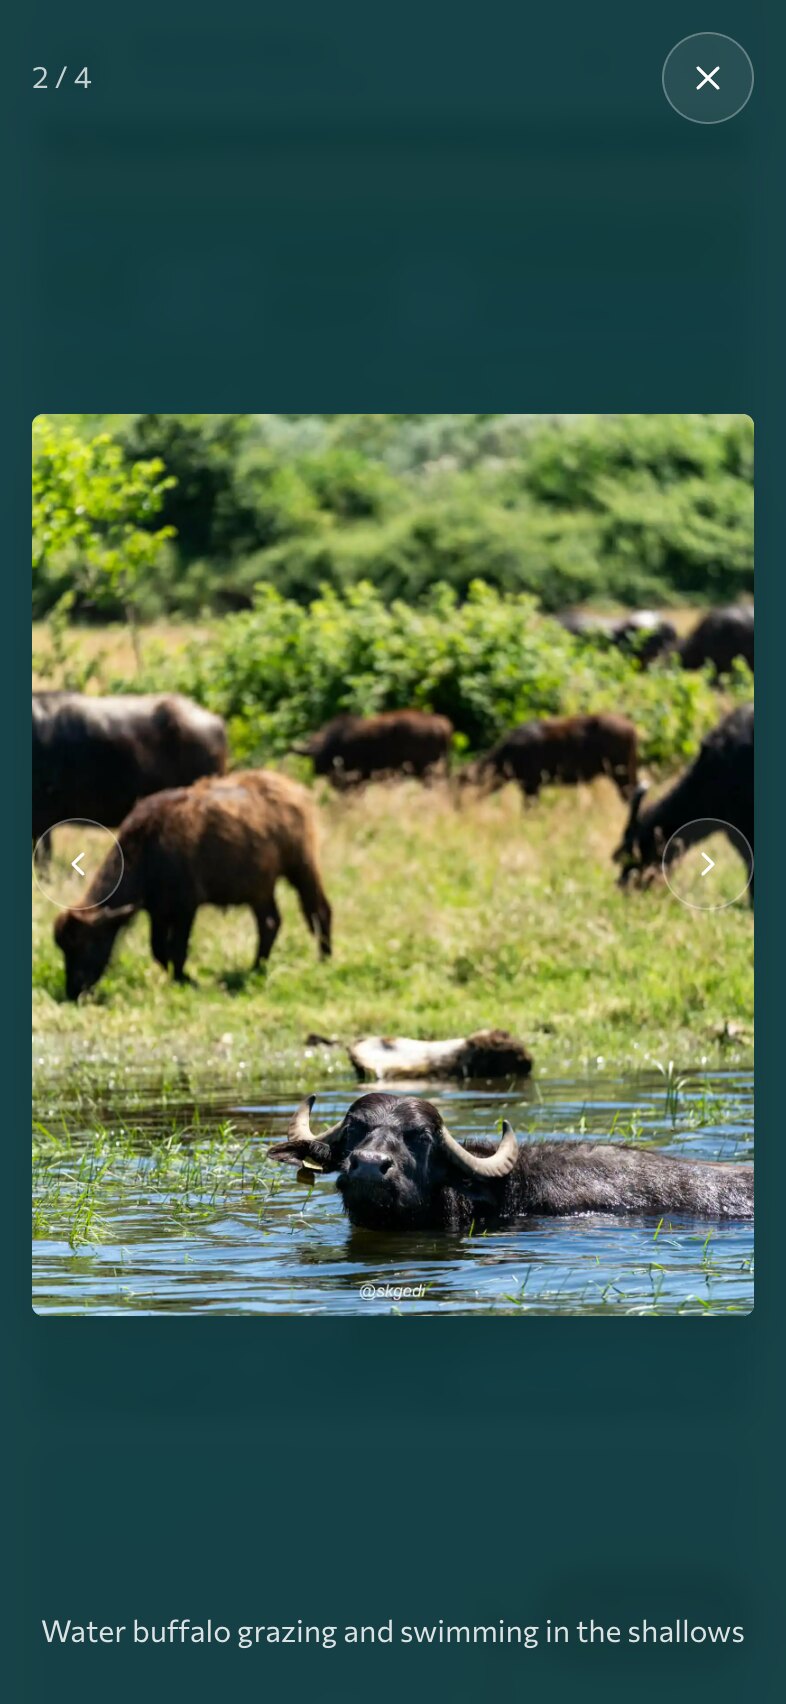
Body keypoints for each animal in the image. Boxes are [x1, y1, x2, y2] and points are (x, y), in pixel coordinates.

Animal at [53, 770, 332, 998]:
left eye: (85, 944)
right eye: (64, 950)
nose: (74, 990)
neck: (147, 849)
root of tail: (294, 790)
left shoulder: (185, 907)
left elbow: (176, 949)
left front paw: (186, 979)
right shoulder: (158, 911)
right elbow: (158, 949)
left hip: (302, 866)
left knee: (319, 911)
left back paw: (324, 959)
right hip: (260, 888)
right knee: (270, 923)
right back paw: (256, 968)